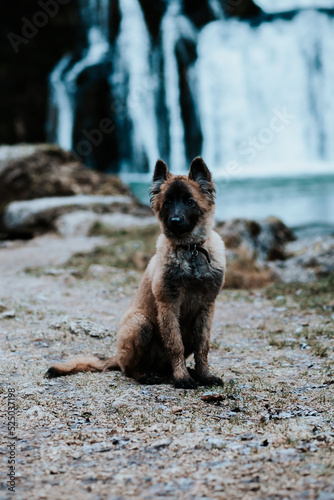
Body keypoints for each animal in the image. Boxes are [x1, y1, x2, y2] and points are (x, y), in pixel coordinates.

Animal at [45, 158, 226, 388]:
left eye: (189, 201)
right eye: (168, 203)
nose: (175, 221)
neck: (190, 249)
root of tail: (117, 356)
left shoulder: (207, 307)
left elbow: (203, 347)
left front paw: (204, 376)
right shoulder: (168, 304)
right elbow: (175, 344)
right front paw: (182, 378)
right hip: (140, 323)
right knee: (129, 369)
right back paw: (149, 375)